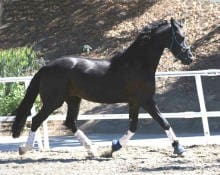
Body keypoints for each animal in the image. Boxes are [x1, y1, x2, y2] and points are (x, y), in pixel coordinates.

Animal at [12, 18, 192, 156]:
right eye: (180, 37)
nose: (189, 58)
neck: (136, 64)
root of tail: (46, 67)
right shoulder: (146, 100)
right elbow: (164, 122)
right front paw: (179, 148)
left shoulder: (135, 102)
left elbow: (133, 127)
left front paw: (113, 148)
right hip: (53, 101)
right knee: (37, 120)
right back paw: (24, 149)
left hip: (73, 99)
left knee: (70, 122)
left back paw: (92, 150)